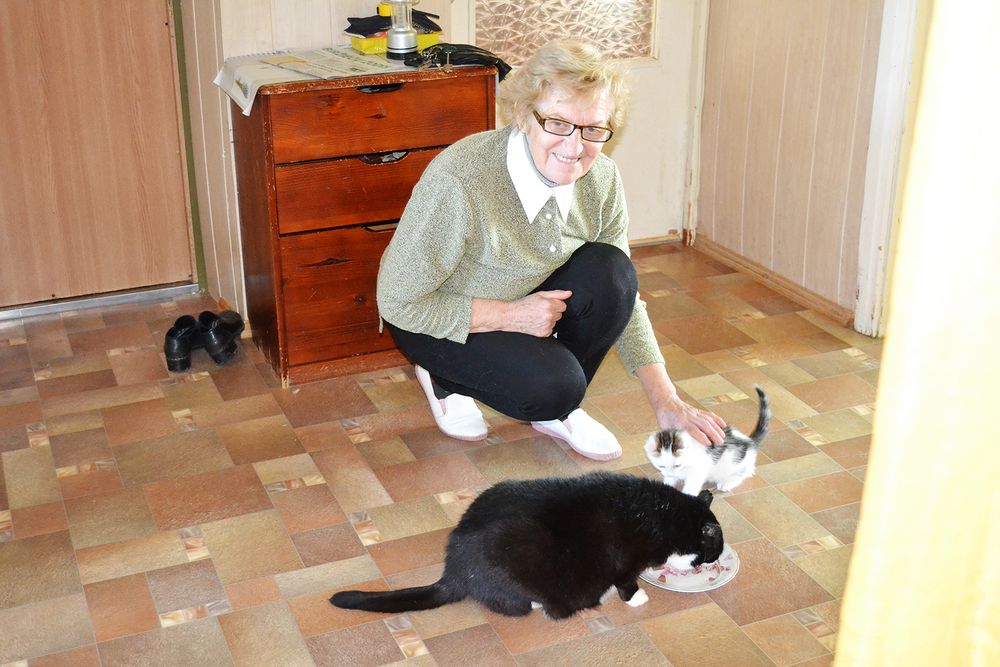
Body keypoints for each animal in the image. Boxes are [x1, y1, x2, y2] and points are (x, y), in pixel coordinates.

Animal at [330, 471, 724, 620]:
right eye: (708, 554)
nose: (708, 564)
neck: (662, 513)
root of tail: (453, 569)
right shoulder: (625, 560)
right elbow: (626, 579)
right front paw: (636, 596)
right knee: (510, 603)